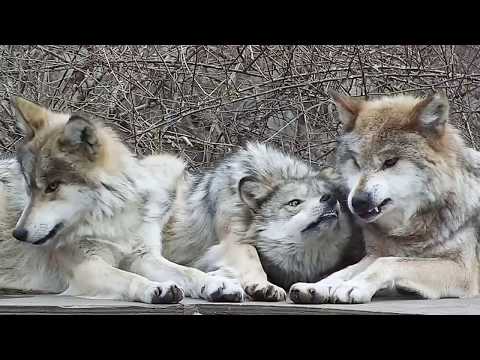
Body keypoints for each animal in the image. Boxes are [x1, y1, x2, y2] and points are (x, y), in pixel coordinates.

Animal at [0, 97, 244, 304]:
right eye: (29, 187)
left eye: (52, 187)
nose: (18, 234)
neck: (111, 218)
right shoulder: (87, 268)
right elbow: (128, 277)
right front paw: (156, 288)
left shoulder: (143, 256)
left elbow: (188, 271)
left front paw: (216, 284)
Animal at [161, 142, 364, 300]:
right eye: (294, 202)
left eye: (325, 193)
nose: (329, 198)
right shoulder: (231, 241)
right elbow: (251, 255)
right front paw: (264, 286)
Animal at [288, 90, 480, 304]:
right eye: (356, 163)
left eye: (390, 161)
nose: (358, 201)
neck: (409, 230)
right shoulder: (373, 254)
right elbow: (346, 270)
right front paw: (318, 286)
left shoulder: (464, 269)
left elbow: (388, 262)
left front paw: (353, 286)